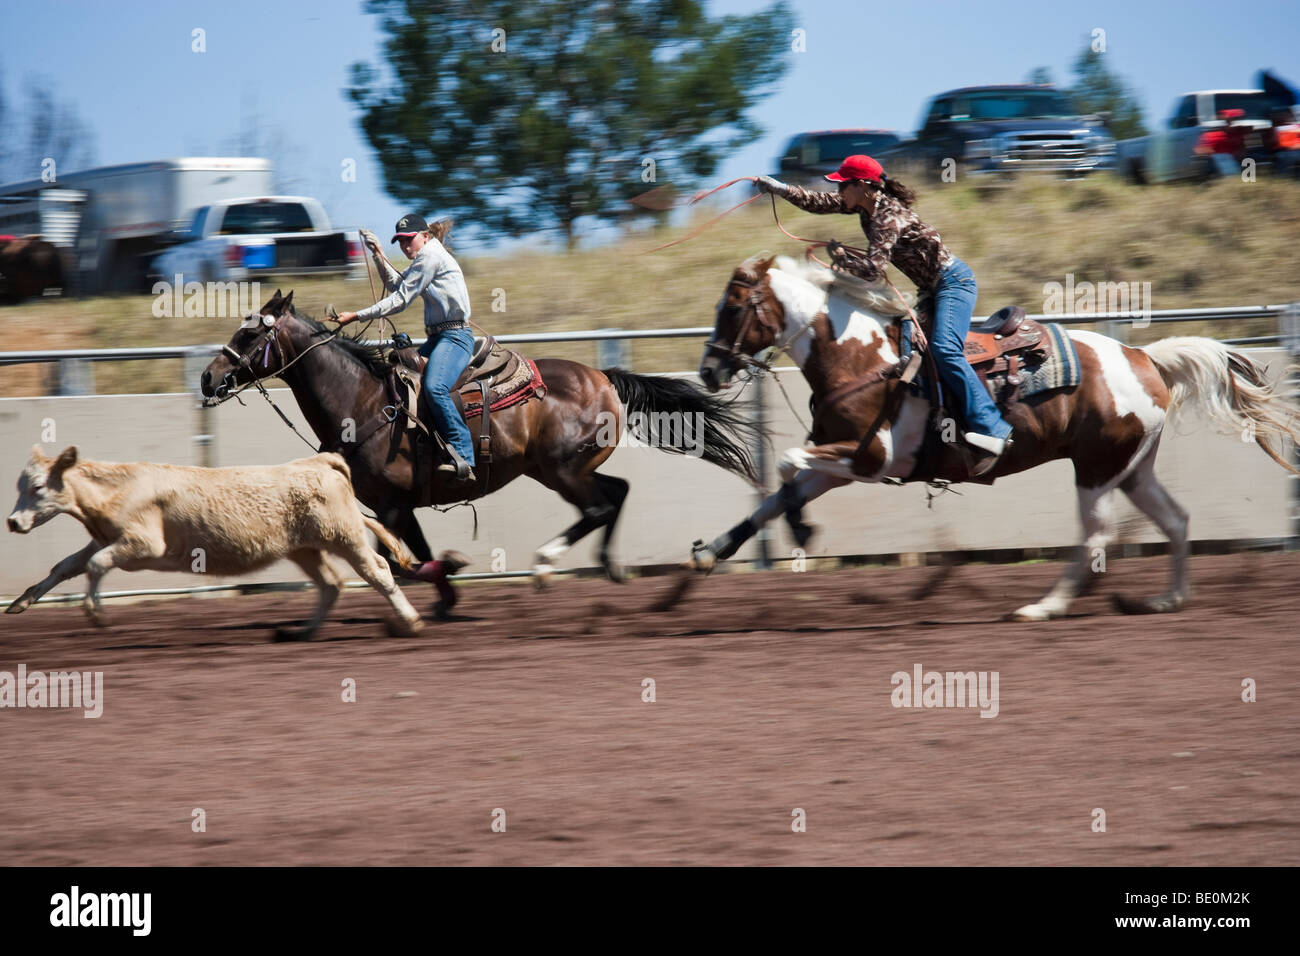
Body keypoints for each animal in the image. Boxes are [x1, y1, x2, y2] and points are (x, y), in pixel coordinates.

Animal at [6, 447, 421, 642]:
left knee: (378, 571)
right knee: (330, 584)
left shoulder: (144, 544)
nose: (12, 522)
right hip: (305, 548)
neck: (117, 489)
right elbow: (66, 566)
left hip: (344, 536)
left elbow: (93, 567)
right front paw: (21, 602)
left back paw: (411, 621)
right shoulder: (105, 540)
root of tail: (318, 462)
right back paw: (303, 632)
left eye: (38, 487)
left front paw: (96, 614)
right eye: (20, 485)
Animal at [201, 287, 759, 598]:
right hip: (563, 469)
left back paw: (546, 565)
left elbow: (409, 563)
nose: (208, 377)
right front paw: (446, 594)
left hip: (562, 471)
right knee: (616, 492)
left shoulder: (394, 505)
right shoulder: (394, 508)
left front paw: (450, 576)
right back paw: (611, 567)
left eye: (250, 335)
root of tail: (604, 376)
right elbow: (407, 561)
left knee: (599, 506)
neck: (364, 402)